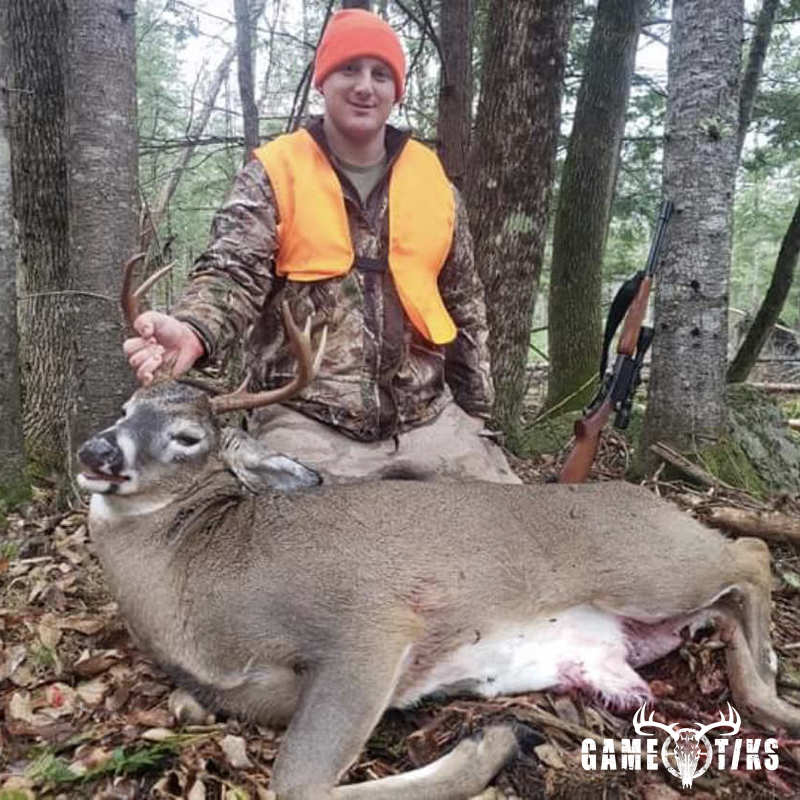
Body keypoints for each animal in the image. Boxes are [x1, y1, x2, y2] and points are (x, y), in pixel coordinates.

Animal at [75, 256, 800, 800]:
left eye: (187, 436)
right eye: (126, 407)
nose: (94, 452)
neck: (194, 590)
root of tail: (648, 500)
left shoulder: (370, 623)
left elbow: (298, 783)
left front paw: (495, 739)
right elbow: (205, 718)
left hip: (647, 565)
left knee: (752, 551)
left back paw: (769, 681)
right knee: (729, 596)